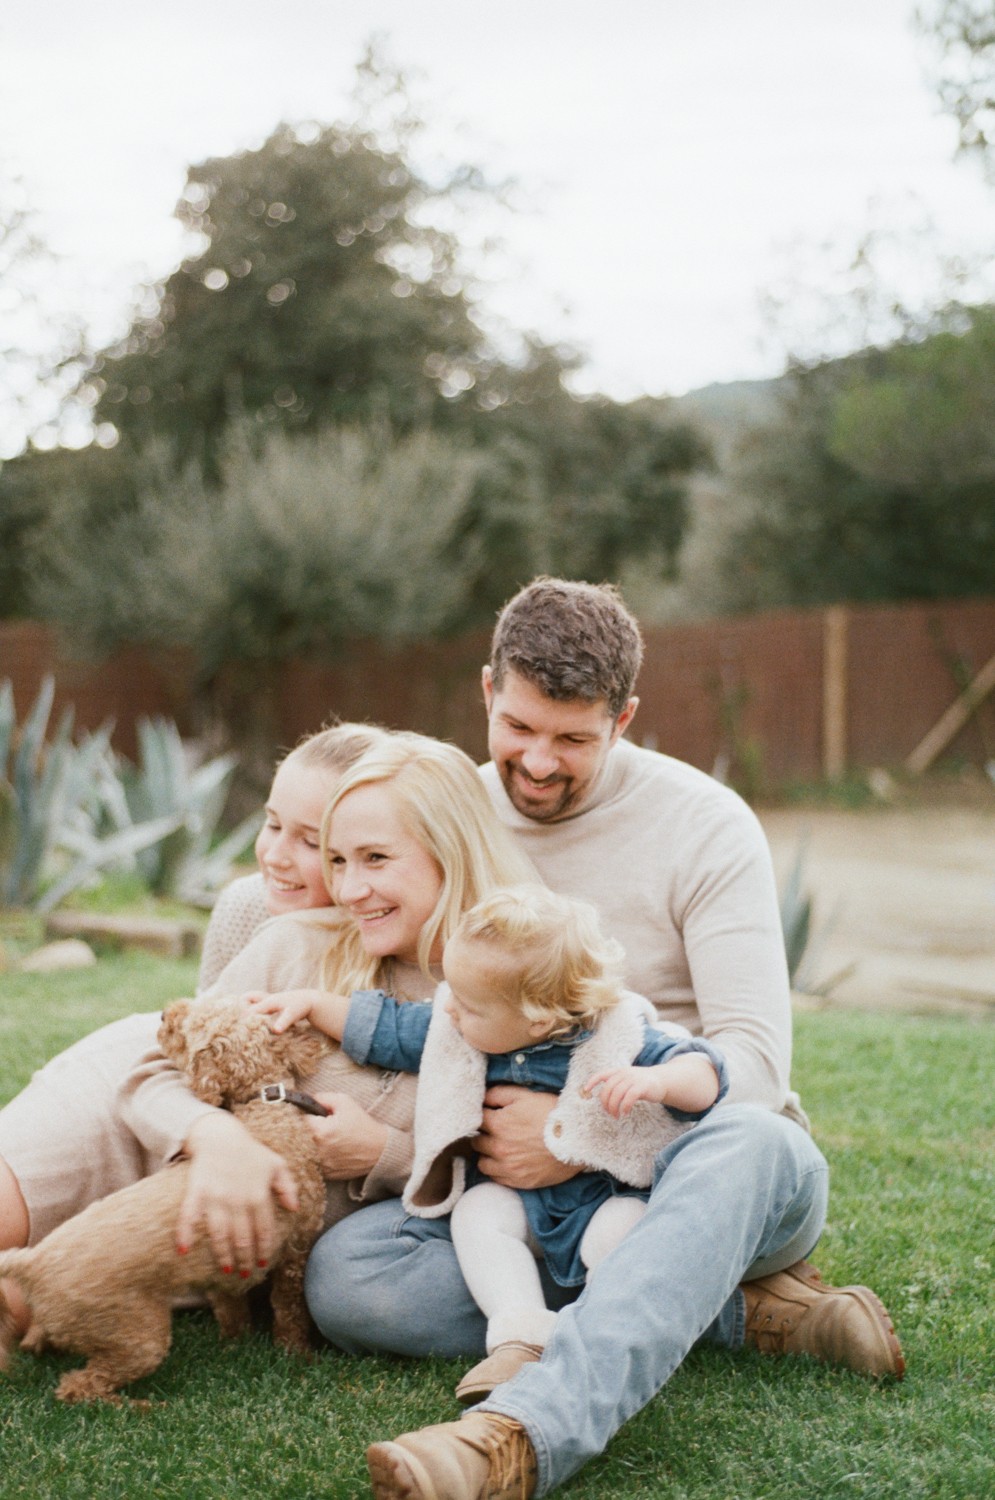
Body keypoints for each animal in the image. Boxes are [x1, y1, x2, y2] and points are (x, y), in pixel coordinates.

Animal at [0, 996, 330, 1404]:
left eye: (183, 1030)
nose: (164, 1013)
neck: (263, 1109)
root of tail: (32, 1262)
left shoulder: (223, 1270)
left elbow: (231, 1309)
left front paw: (234, 1343)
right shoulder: (295, 1251)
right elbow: (289, 1310)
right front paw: (297, 1354)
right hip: (137, 1335)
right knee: (78, 1387)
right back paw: (137, 1405)